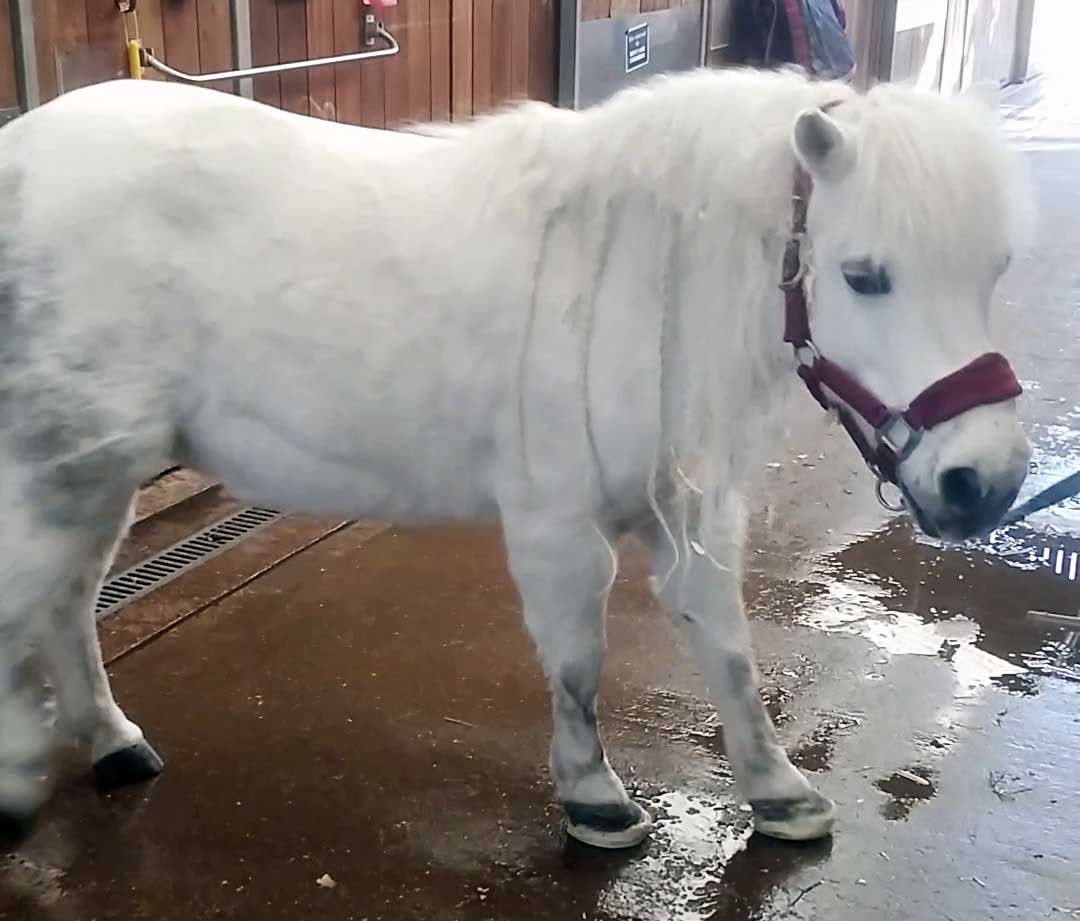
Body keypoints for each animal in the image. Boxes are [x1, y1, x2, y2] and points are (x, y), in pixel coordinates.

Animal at [0, 70, 1028, 846]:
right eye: (864, 275)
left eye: (994, 271)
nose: (985, 483)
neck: (636, 278)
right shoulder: (557, 522)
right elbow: (577, 662)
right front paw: (595, 798)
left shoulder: (684, 506)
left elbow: (727, 647)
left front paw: (778, 791)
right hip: (59, 466)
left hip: (98, 470)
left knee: (66, 606)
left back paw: (111, 741)